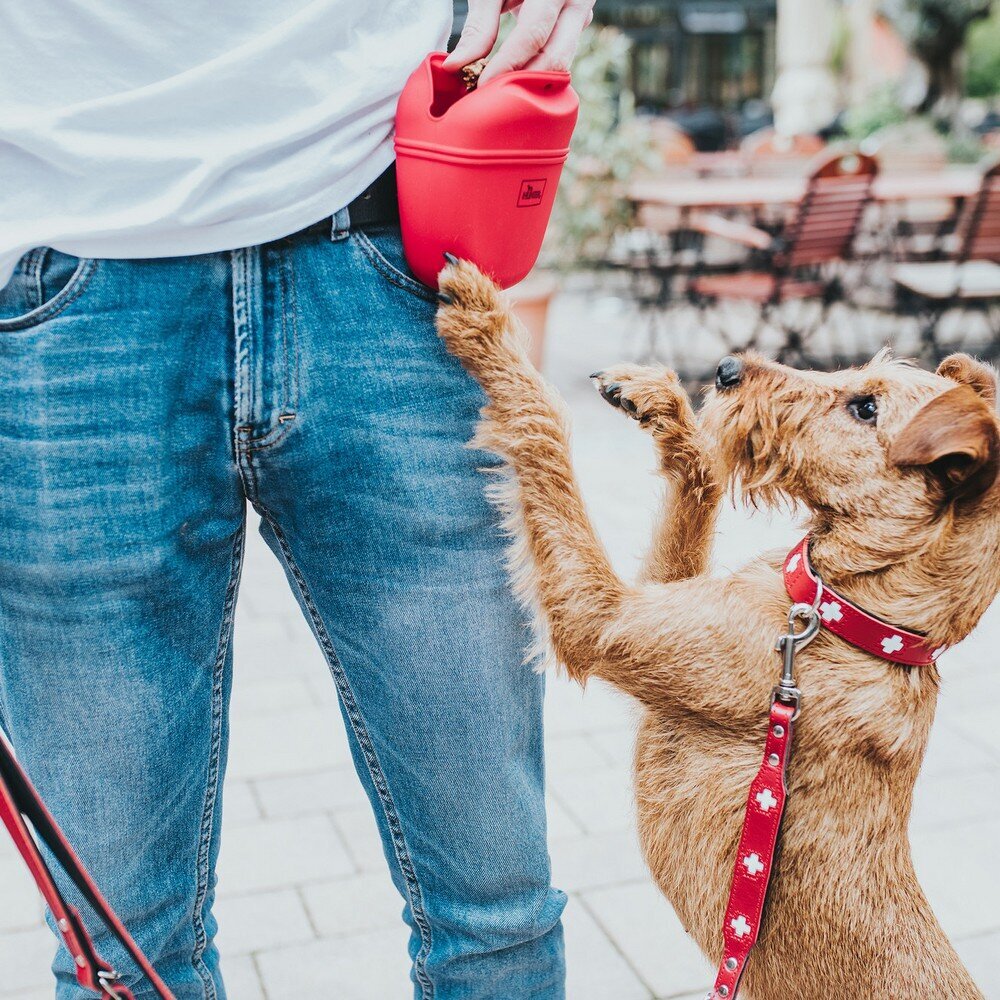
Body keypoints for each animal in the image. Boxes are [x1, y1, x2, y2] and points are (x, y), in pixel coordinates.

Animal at [438, 260, 1000, 1000]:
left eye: (866, 408)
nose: (728, 369)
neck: (855, 619)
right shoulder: (660, 602)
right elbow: (699, 483)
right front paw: (663, 408)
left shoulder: (604, 616)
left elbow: (544, 427)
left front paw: (485, 321)